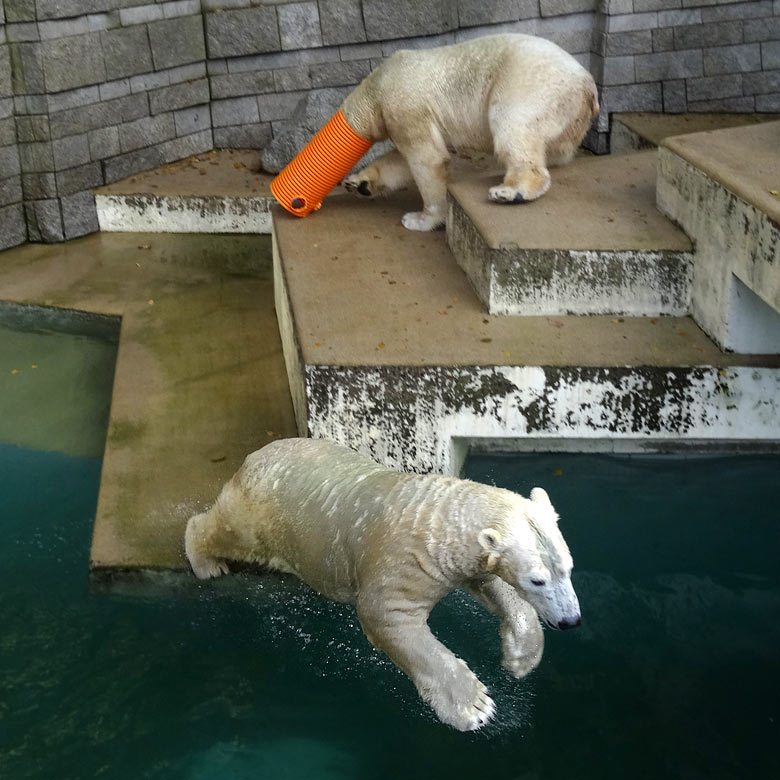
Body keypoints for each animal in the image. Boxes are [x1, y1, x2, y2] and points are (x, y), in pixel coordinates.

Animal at [184, 438, 580, 732]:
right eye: (537, 578)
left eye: (569, 568)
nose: (570, 621)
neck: (441, 519)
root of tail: (254, 456)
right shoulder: (402, 562)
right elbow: (385, 616)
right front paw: (474, 707)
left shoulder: (466, 563)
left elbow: (493, 587)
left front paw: (520, 659)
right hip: (264, 512)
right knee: (228, 531)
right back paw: (206, 562)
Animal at [338, 32, 600, 232]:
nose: (351, 183)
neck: (377, 84)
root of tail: (588, 85)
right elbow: (401, 160)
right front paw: (359, 183)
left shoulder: (404, 104)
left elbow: (427, 159)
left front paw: (420, 219)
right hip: (567, 121)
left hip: (533, 84)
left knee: (512, 123)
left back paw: (510, 191)